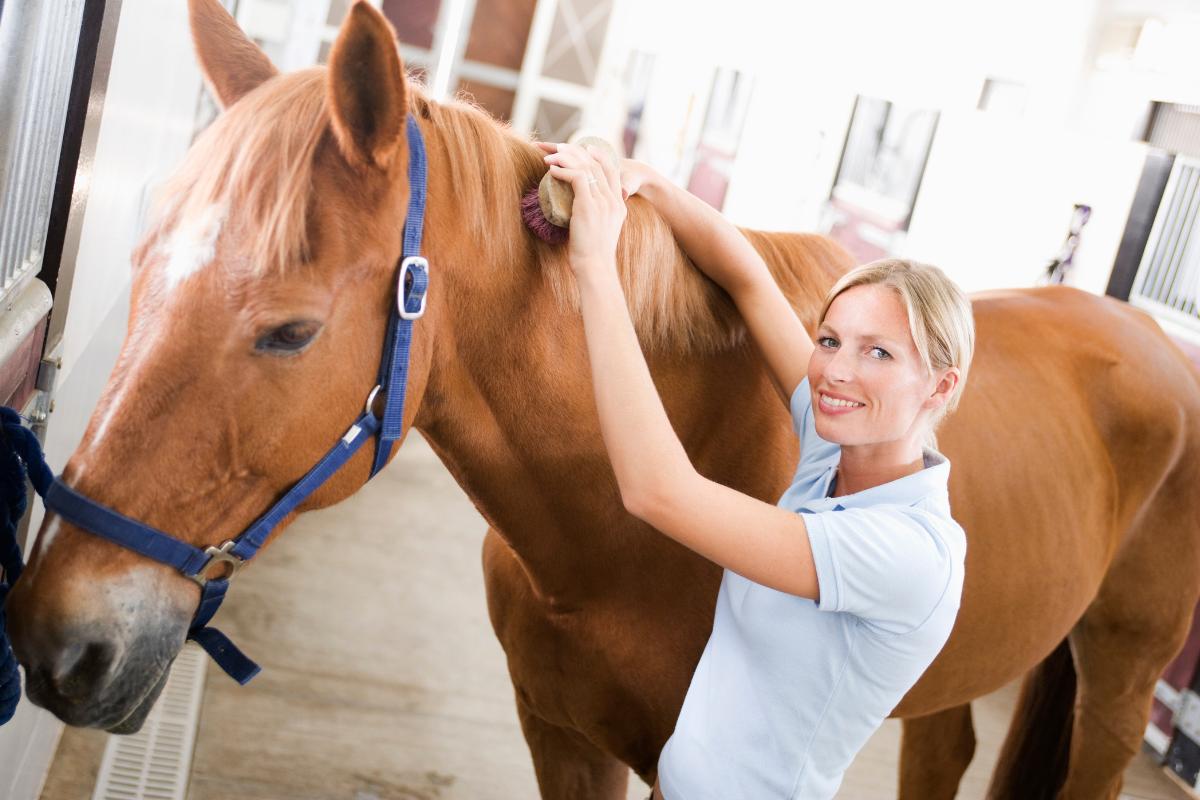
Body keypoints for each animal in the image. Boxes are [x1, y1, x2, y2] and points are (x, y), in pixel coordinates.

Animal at [9, 2, 1200, 798]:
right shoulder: (561, 734)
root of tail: (1150, 336)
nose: (52, 637)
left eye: (290, 330)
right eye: (142, 263)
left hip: (1120, 678)